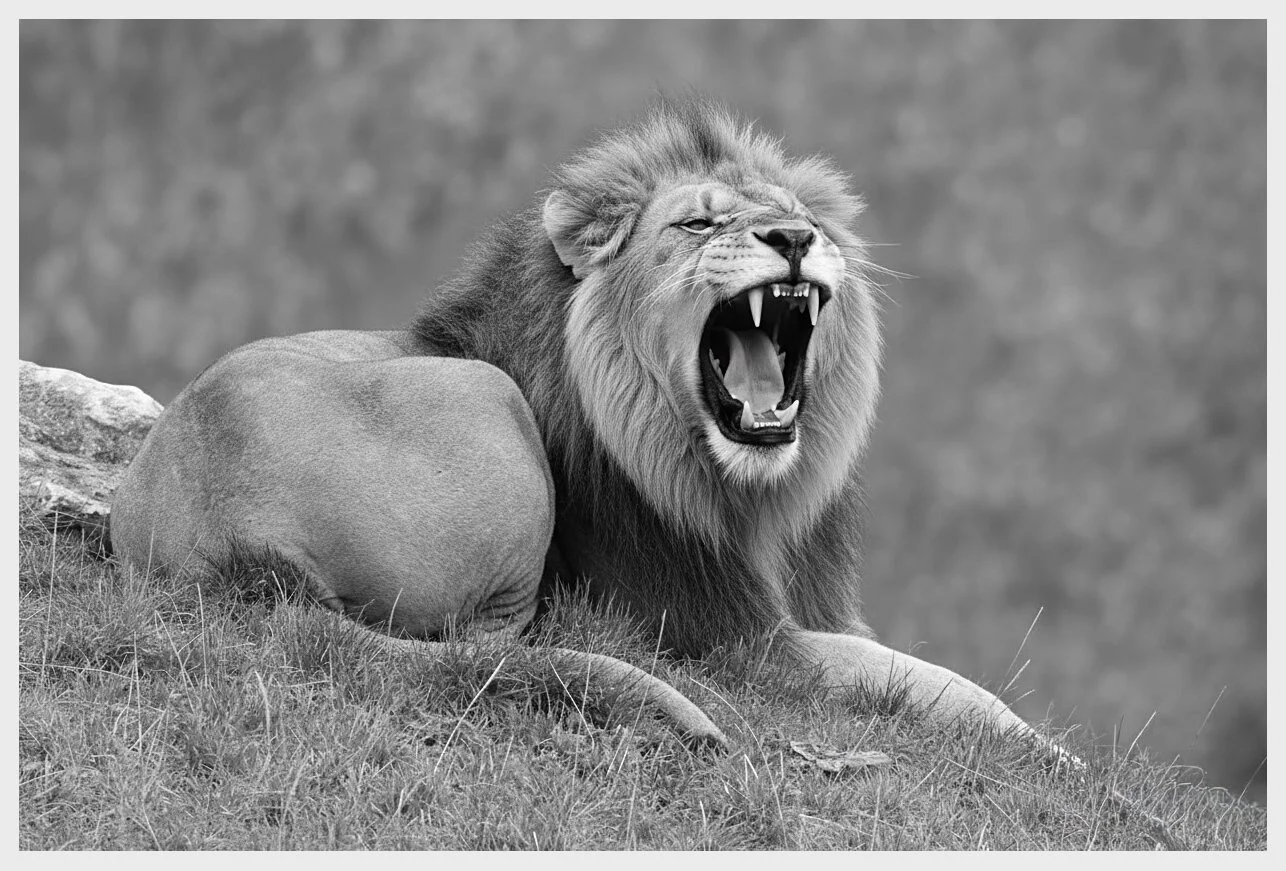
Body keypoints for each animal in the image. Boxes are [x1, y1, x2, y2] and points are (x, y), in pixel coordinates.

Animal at [110, 98, 1038, 749]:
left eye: (797, 216)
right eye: (697, 223)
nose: (794, 236)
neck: (750, 493)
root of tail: (231, 545)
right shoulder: (723, 635)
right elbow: (941, 688)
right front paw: (1058, 763)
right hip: (486, 401)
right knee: (478, 650)